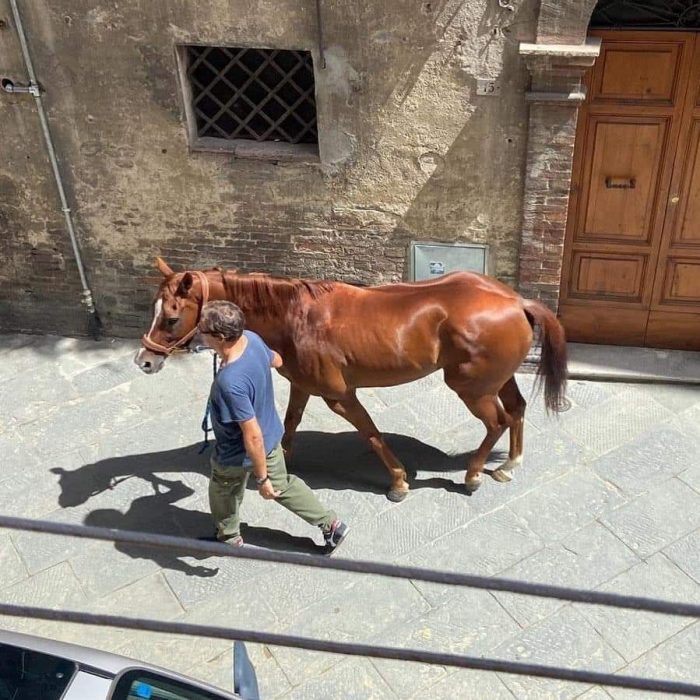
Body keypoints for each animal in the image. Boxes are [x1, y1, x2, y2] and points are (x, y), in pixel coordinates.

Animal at [134, 260, 568, 500]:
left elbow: (371, 434)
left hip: (471, 388)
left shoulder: (339, 395)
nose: (144, 360)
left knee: (497, 421)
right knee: (516, 410)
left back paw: (474, 475)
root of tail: (515, 301)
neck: (295, 317)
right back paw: (509, 463)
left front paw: (398, 482)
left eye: (170, 317)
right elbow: (290, 422)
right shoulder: (302, 385)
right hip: (497, 380)